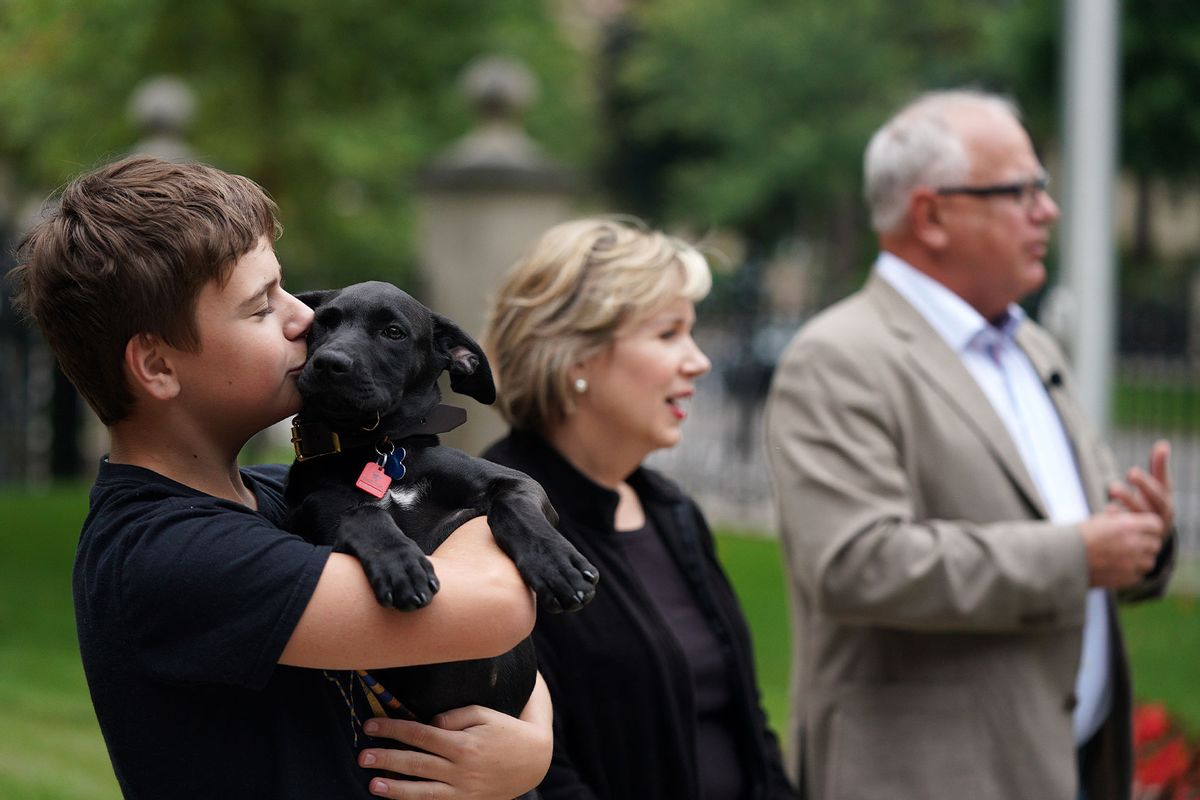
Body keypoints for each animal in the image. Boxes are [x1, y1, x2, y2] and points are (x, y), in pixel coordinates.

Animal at [282, 281, 600, 724]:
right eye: (323, 323)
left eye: (393, 333)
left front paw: (558, 566)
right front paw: (400, 564)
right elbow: (360, 513)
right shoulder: (311, 514)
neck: (380, 448)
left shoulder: (519, 482)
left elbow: (511, 509)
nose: (329, 363)